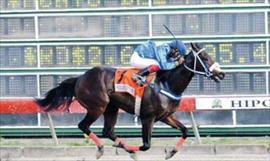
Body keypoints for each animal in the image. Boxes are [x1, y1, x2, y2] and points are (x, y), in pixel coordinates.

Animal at [36, 42, 226, 160]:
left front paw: (171, 152)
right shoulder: (147, 117)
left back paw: (124, 148)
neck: (167, 83)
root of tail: (80, 78)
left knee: (108, 131)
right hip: (97, 106)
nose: (221, 74)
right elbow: (146, 145)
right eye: (206, 58)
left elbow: (185, 130)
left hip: (111, 108)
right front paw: (137, 151)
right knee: (84, 126)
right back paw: (102, 149)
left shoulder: (166, 116)